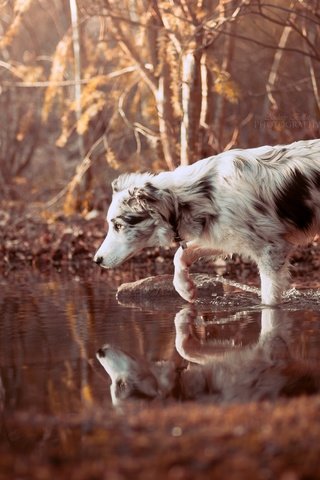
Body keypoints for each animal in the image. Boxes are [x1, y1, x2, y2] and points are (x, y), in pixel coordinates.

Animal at [94, 139, 320, 304]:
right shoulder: (223, 235)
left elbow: (269, 302)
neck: (199, 195)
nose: (97, 260)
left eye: (118, 226)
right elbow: (180, 254)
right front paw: (185, 289)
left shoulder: (272, 250)